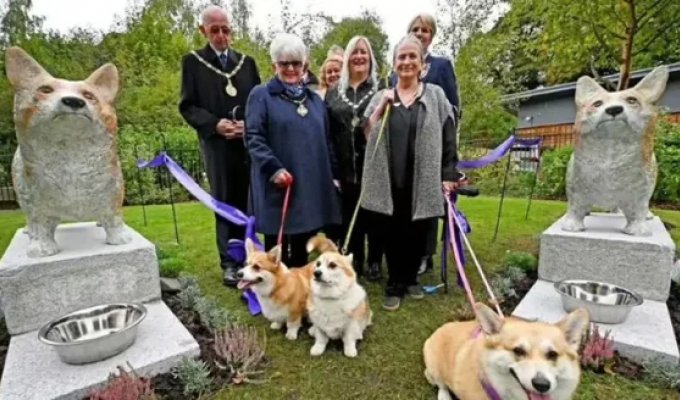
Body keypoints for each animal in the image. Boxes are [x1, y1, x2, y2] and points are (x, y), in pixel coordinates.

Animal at [5, 45, 130, 255]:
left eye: (89, 95)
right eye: (45, 90)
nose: (73, 101)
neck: (71, 156)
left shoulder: (113, 194)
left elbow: (113, 218)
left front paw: (119, 238)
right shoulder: (37, 202)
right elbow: (40, 223)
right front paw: (41, 248)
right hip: (21, 193)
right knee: (29, 218)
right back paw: (29, 232)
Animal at [564, 64, 668, 236]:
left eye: (632, 100)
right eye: (597, 104)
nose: (614, 109)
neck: (610, 152)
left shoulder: (639, 193)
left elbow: (638, 209)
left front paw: (638, 230)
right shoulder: (576, 188)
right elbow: (575, 207)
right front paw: (572, 225)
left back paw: (646, 216)